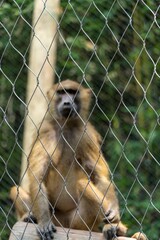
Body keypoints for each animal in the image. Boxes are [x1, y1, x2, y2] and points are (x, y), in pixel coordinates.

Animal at [10, 80, 146, 240]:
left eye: (73, 92)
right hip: (58, 217)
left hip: (79, 220)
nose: (67, 102)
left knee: (83, 184)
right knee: (15, 189)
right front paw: (43, 222)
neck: (67, 125)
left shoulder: (86, 134)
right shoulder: (45, 131)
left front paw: (114, 214)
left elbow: (100, 177)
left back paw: (115, 228)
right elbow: (37, 177)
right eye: (61, 92)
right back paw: (29, 217)